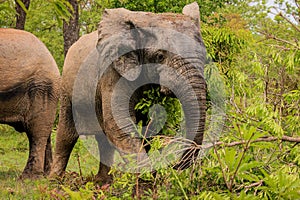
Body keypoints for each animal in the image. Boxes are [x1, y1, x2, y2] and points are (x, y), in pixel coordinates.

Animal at [51, 1, 206, 183]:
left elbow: (154, 123)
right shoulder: (111, 71)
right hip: (67, 89)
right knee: (66, 135)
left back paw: (103, 181)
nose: (175, 166)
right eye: (160, 56)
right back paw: (55, 180)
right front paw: (148, 181)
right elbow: (119, 125)